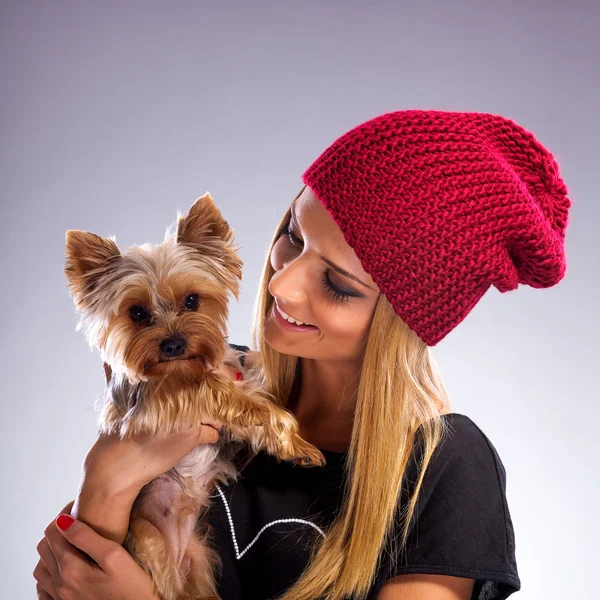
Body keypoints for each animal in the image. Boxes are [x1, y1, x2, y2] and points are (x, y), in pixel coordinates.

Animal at [63, 192, 326, 600]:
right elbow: (222, 392)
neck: (182, 368)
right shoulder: (156, 401)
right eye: (136, 312)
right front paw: (296, 442)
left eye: (192, 301)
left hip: (199, 562)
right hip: (147, 542)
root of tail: (178, 545)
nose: (173, 344)